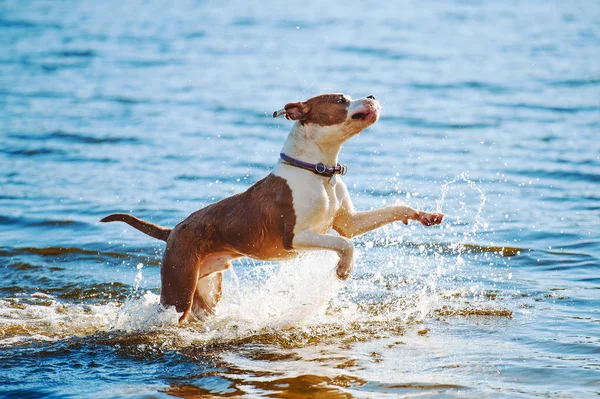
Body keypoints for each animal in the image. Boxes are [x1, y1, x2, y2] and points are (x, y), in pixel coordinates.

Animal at [101, 94, 442, 324]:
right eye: (341, 99)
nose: (371, 95)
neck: (319, 171)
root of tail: (173, 230)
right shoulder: (297, 236)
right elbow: (345, 244)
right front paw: (344, 269)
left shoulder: (350, 222)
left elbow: (394, 209)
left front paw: (424, 215)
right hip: (177, 292)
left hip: (206, 288)